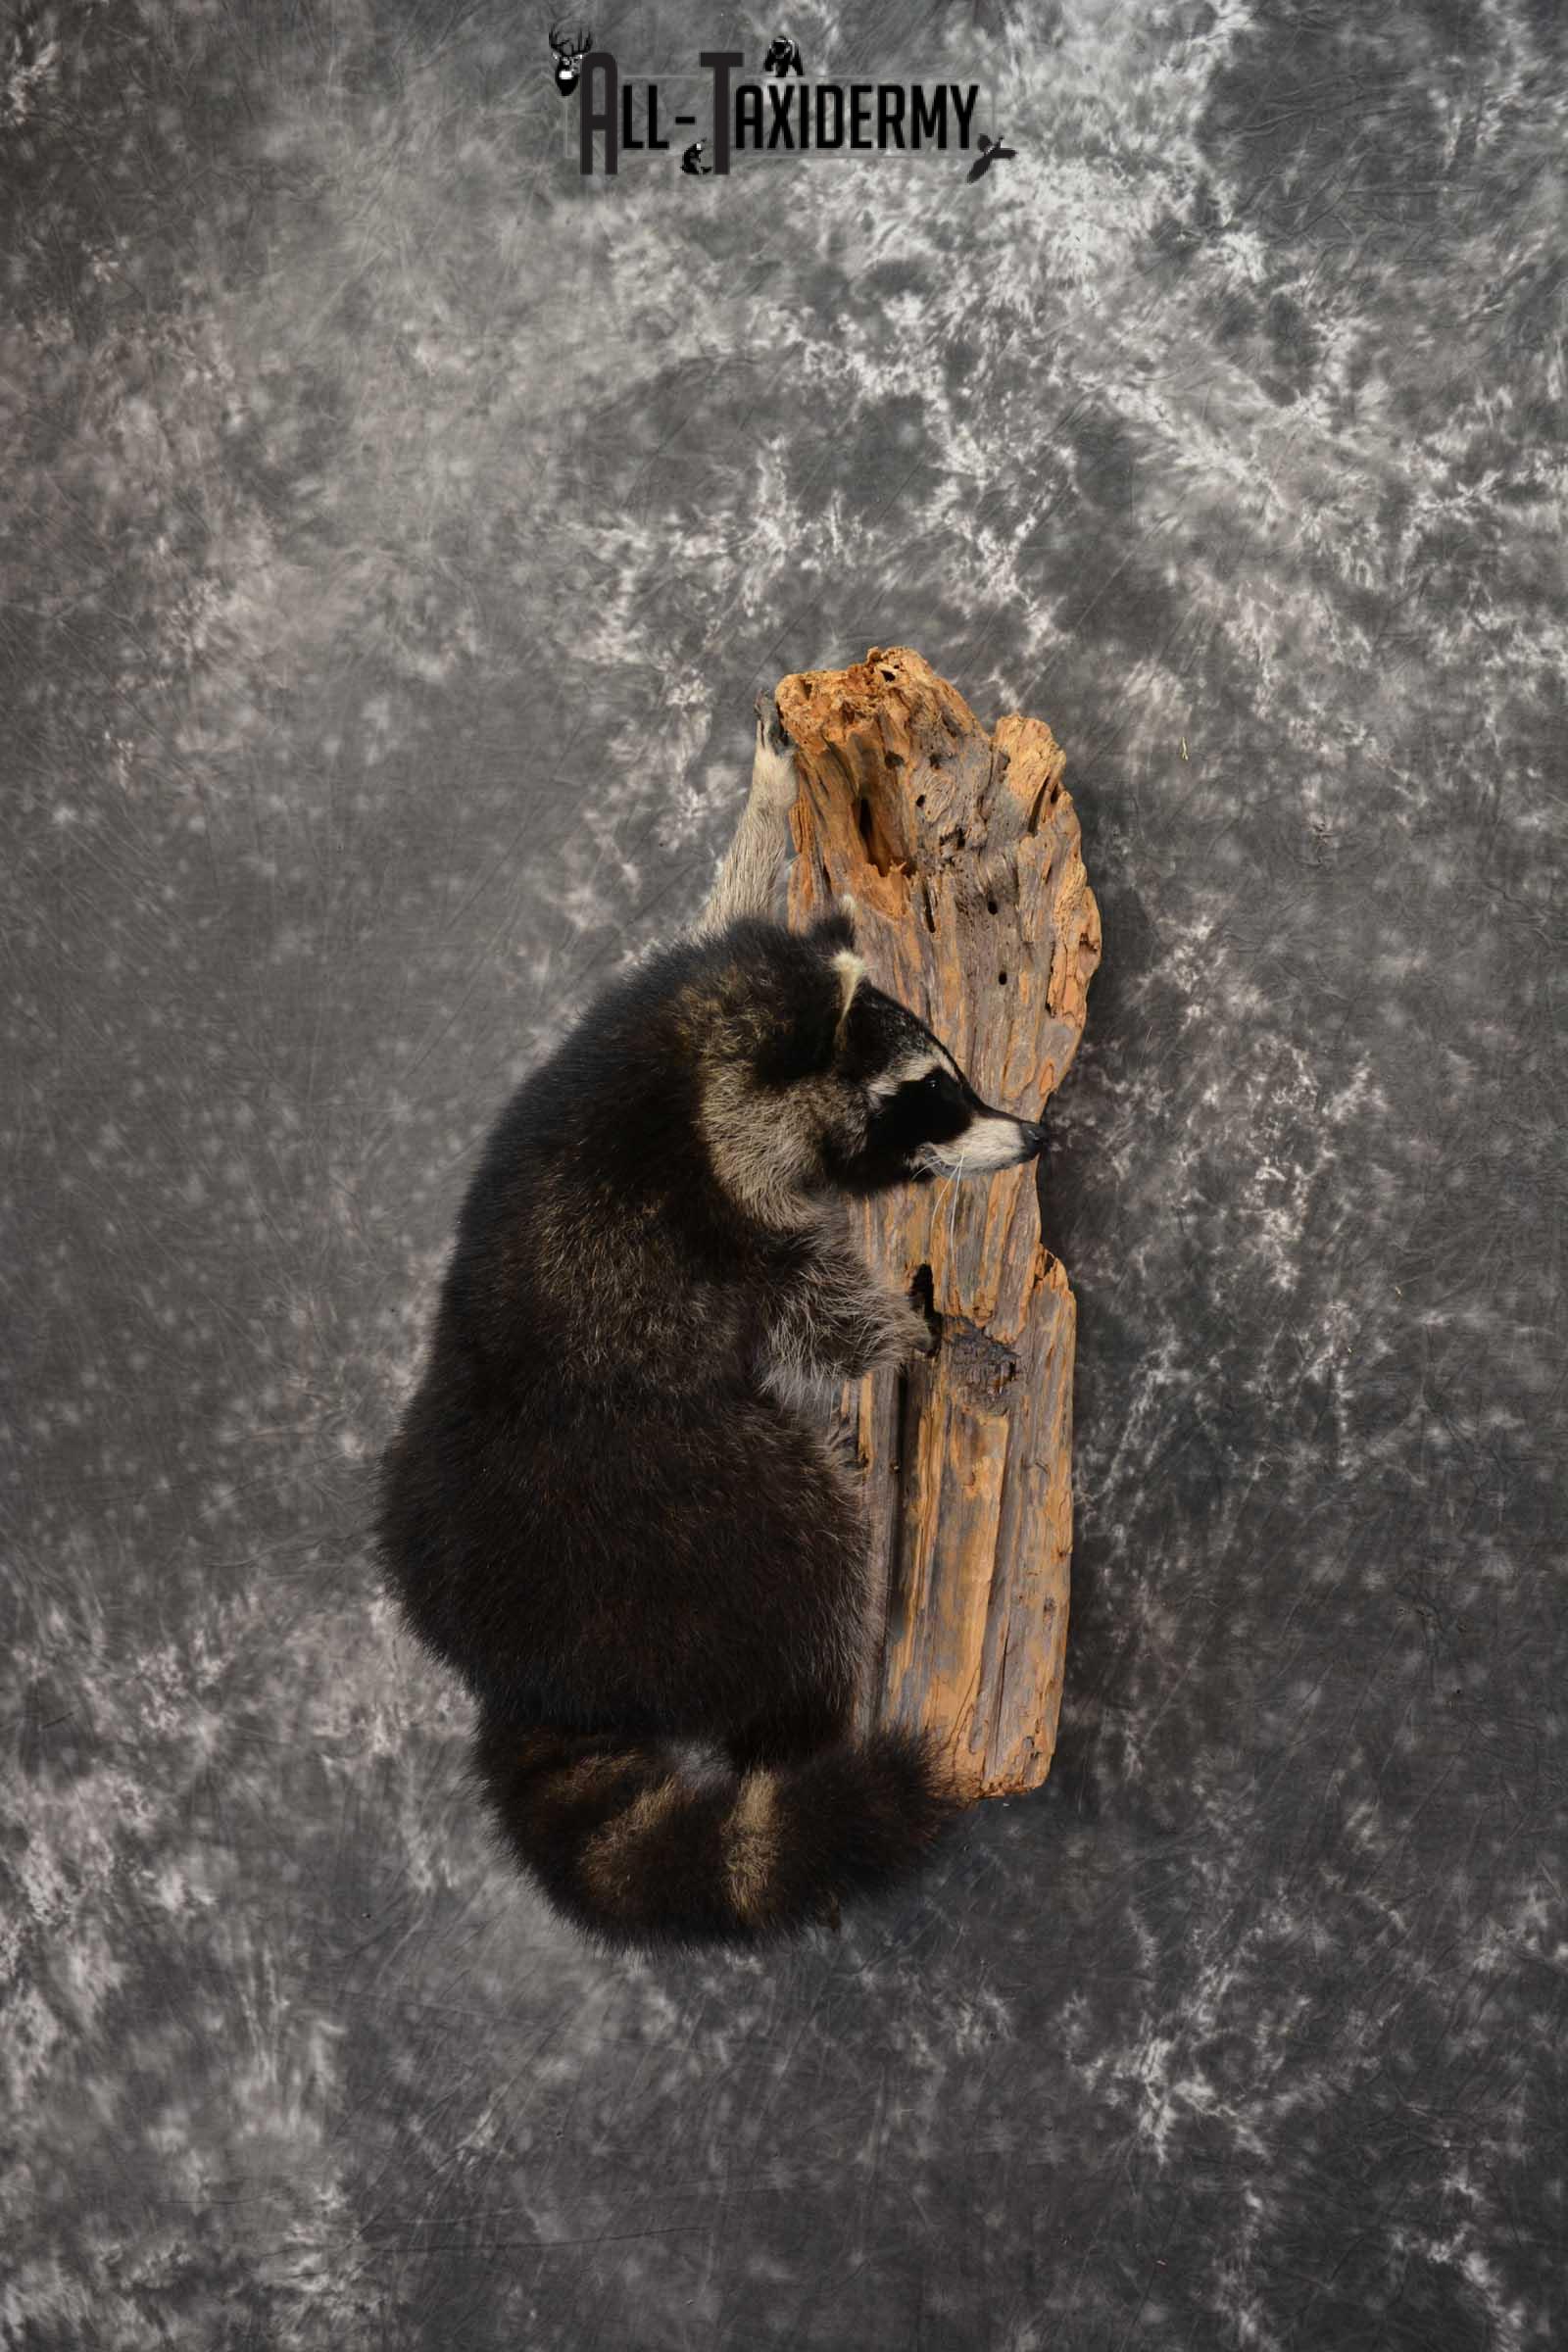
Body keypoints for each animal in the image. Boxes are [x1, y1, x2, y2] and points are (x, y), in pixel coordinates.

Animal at [375, 695, 1047, 1951]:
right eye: (927, 1097)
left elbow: (733, 897)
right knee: (808, 1540)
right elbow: (821, 1315)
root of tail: (528, 1669)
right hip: (683, 1517)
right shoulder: (716, 1224)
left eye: (953, 1077)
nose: (1031, 1135)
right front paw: (920, 1337)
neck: (702, 1064)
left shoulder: (686, 993)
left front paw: (770, 795)